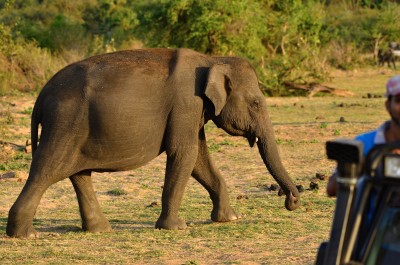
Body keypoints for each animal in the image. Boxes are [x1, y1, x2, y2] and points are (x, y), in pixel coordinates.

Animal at [6, 47, 300, 237]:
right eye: (256, 104)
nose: (292, 201)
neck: (213, 59)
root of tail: (41, 96)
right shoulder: (186, 104)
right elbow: (185, 154)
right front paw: (177, 228)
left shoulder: (194, 110)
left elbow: (199, 158)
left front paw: (229, 219)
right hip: (65, 124)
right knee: (46, 171)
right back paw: (25, 235)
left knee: (78, 174)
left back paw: (100, 230)